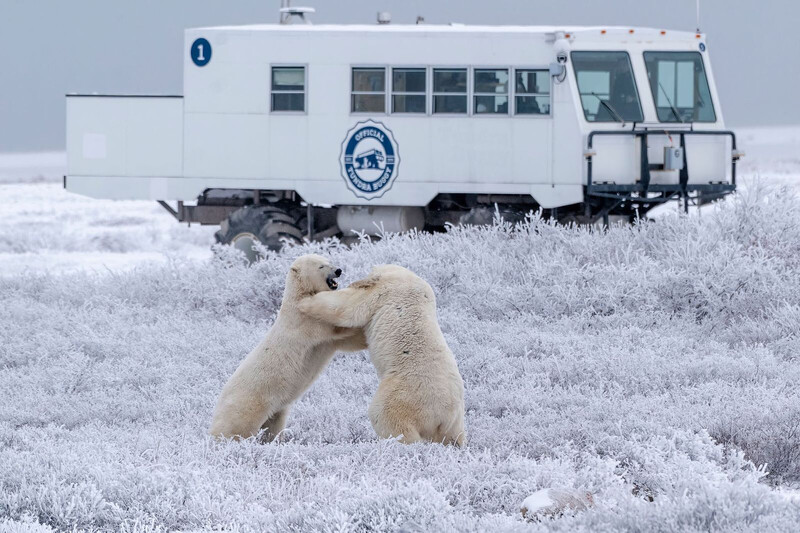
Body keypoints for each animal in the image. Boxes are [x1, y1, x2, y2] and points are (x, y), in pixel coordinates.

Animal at [209, 254, 367, 442]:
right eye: (321, 266)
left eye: (329, 261)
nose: (338, 270)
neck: (297, 299)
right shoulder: (305, 320)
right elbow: (336, 327)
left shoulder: (324, 340)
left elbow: (348, 342)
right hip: (248, 405)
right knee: (238, 429)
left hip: (275, 411)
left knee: (273, 428)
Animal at [298, 264, 466, 446]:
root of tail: (444, 414)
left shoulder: (384, 291)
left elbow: (348, 307)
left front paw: (304, 302)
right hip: (455, 421)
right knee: (454, 436)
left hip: (406, 392)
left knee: (386, 416)